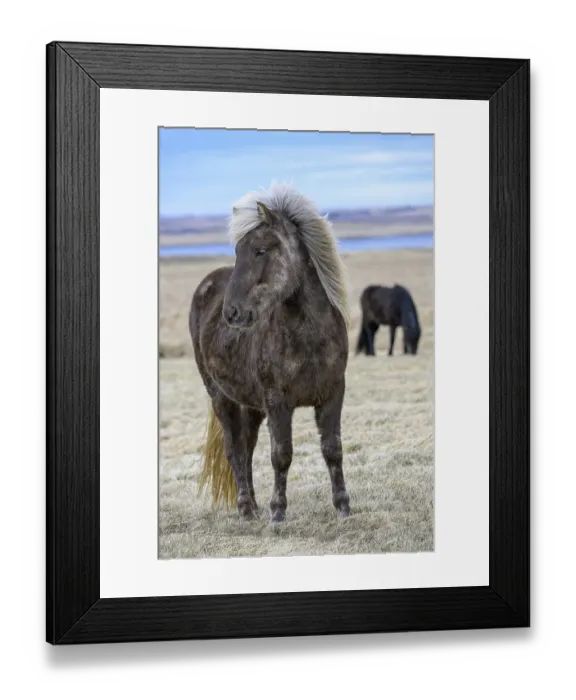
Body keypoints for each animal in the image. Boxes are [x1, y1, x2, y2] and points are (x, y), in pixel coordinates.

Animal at [188, 182, 352, 524]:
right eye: (238, 251)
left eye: (260, 250)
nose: (232, 313)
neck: (309, 338)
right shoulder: (278, 401)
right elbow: (281, 455)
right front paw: (278, 512)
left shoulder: (333, 394)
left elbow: (332, 449)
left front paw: (343, 506)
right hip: (221, 397)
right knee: (234, 449)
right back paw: (247, 508)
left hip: (251, 405)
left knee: (247, 447)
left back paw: (253, 504)